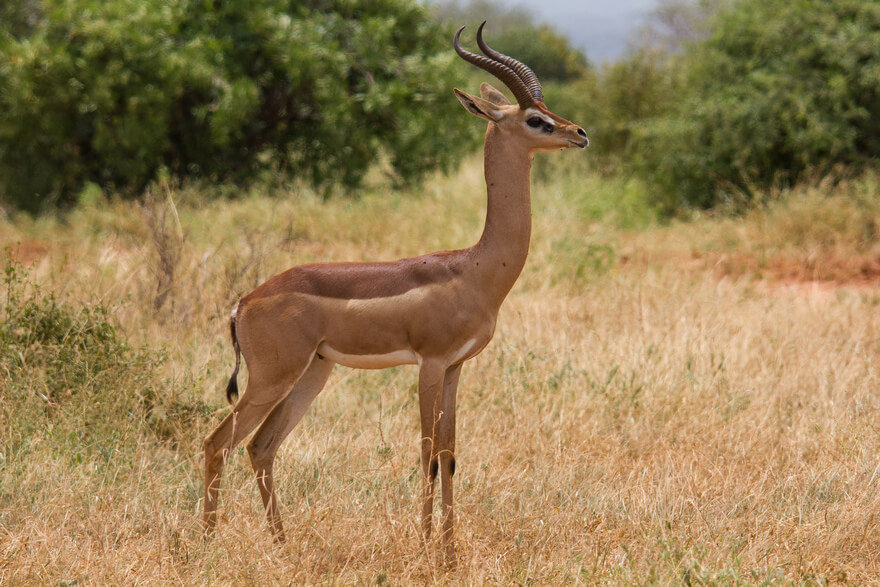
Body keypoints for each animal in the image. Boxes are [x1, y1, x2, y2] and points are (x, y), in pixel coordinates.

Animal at [203, 23, 588, 564]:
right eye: (536, 119)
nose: (580, 133)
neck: (474, 268)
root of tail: (244, 303)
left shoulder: (456, 368)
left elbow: (449, 453)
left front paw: (451, 552)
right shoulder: (429, 363)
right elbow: (426, 452)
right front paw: (427, 549)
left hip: (312, 373)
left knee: (260, 446)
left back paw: (284, 547)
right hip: (271, 378)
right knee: (218, 442)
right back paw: (205, 545)